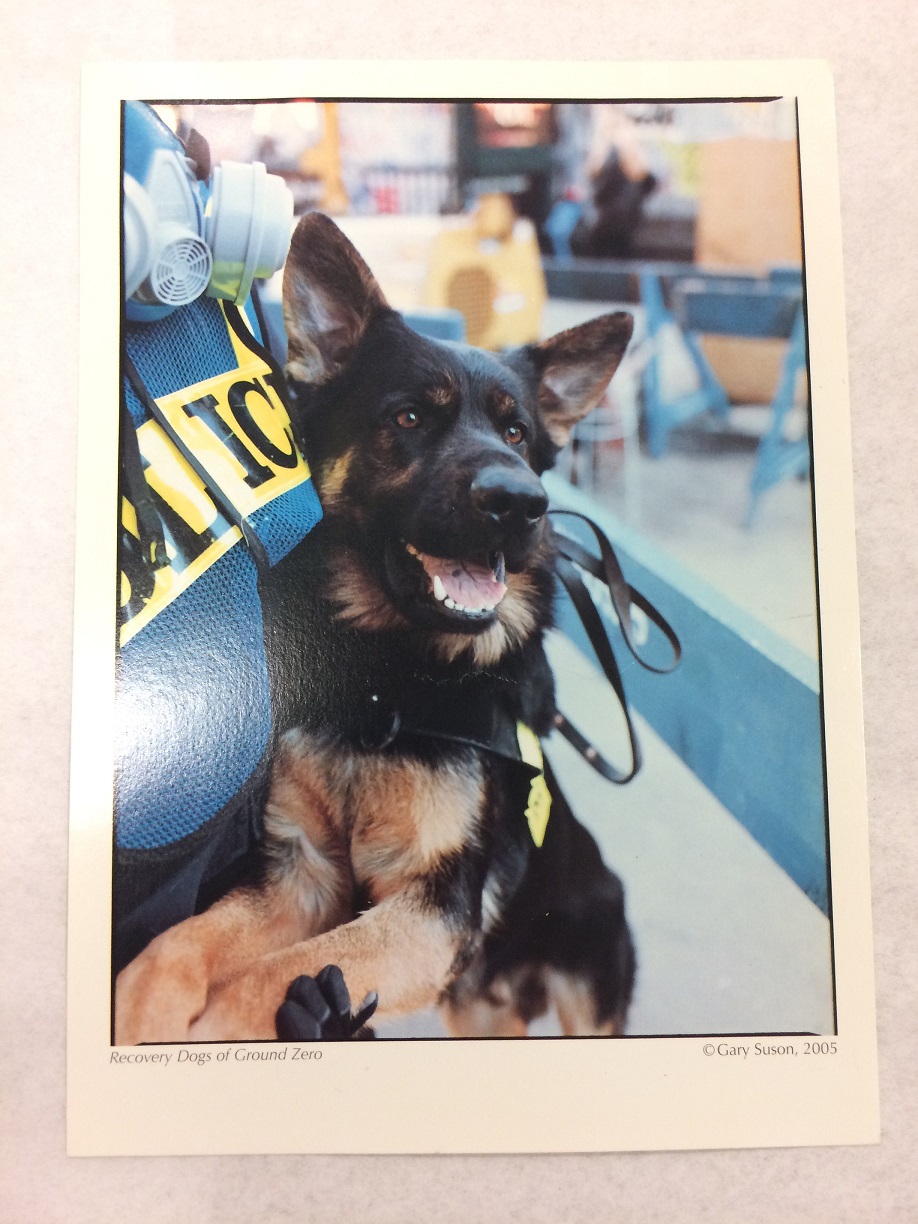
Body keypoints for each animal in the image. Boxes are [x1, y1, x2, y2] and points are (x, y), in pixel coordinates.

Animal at [116, 210, 641, 1042]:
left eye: (519, 435)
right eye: (409, 417)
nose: (520, 502)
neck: (393, 678)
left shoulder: (429, 912)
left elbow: (257, 983)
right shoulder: (301, 876)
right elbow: (178, 947)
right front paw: (141, 1015)